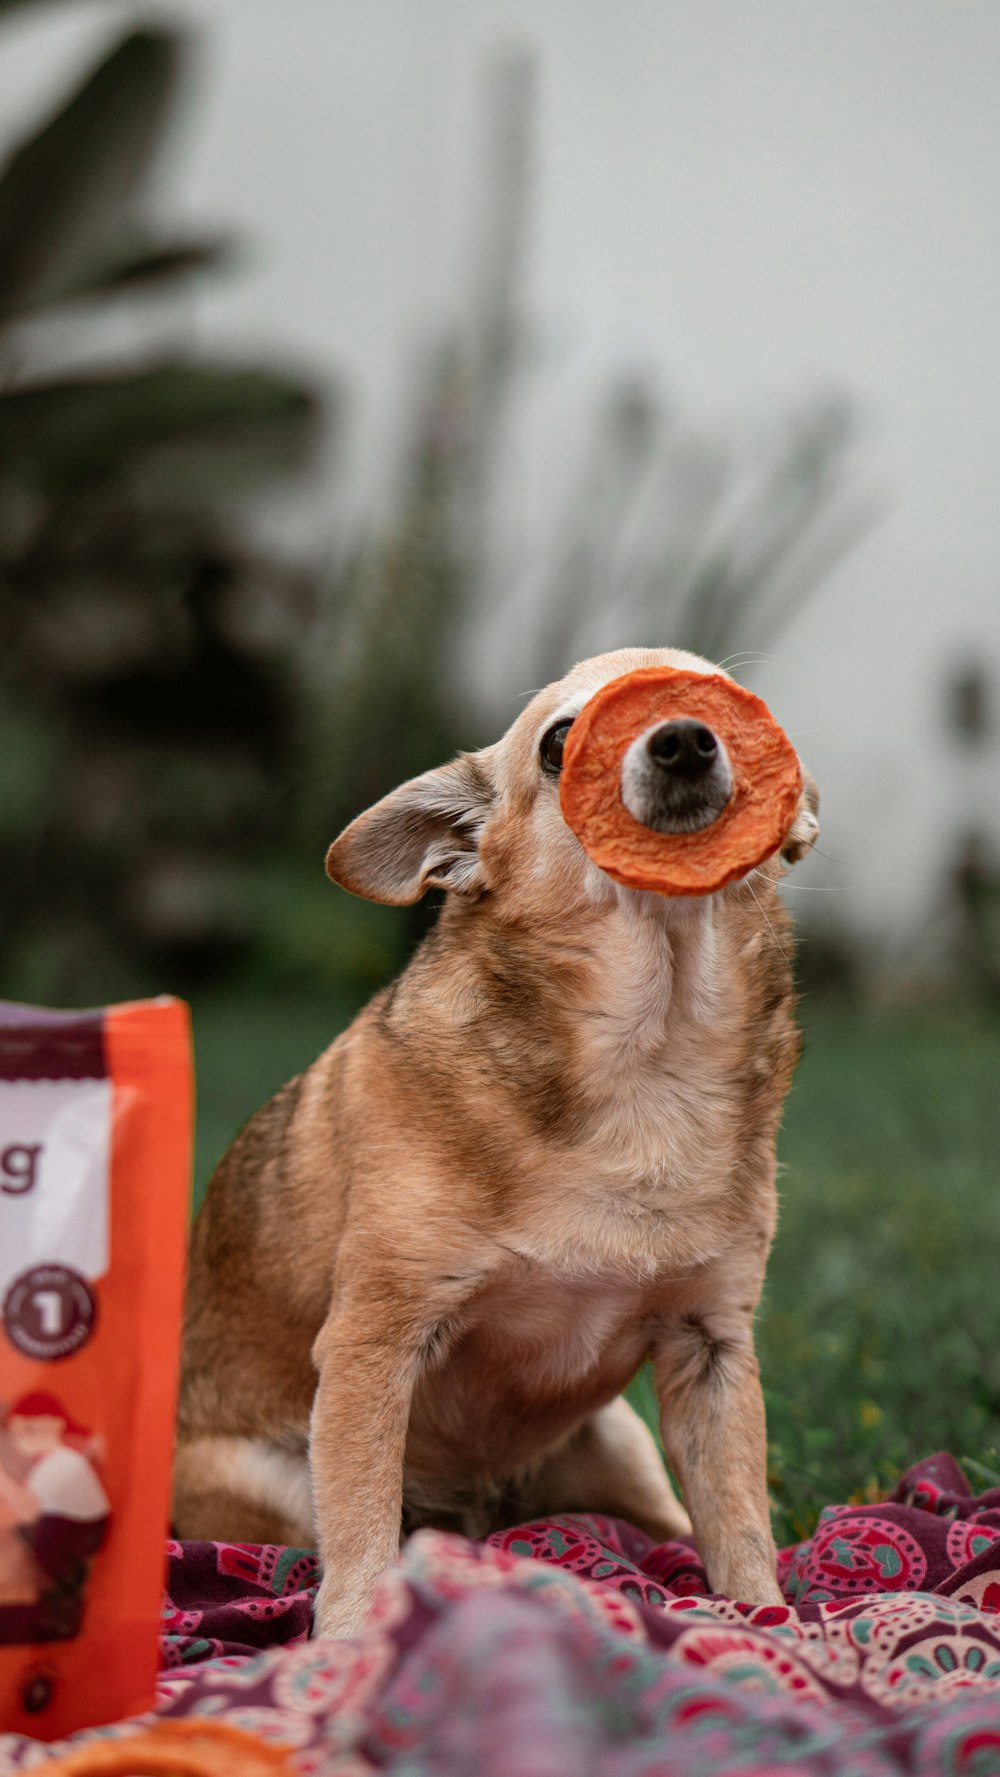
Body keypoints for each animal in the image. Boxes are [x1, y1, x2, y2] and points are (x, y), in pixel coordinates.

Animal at [175, 646, 820, 1627]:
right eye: (560, 745)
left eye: (734, 708)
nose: (683, 738)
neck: (649, 1057)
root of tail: (486, 1515)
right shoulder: (373, 1345)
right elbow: (361, 1533)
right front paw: (350, 1639)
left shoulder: (711, 1348)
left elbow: (739, 1521)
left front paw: (768, 1623)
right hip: (276, 1483)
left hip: (620, 1442)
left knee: (670, 1524)